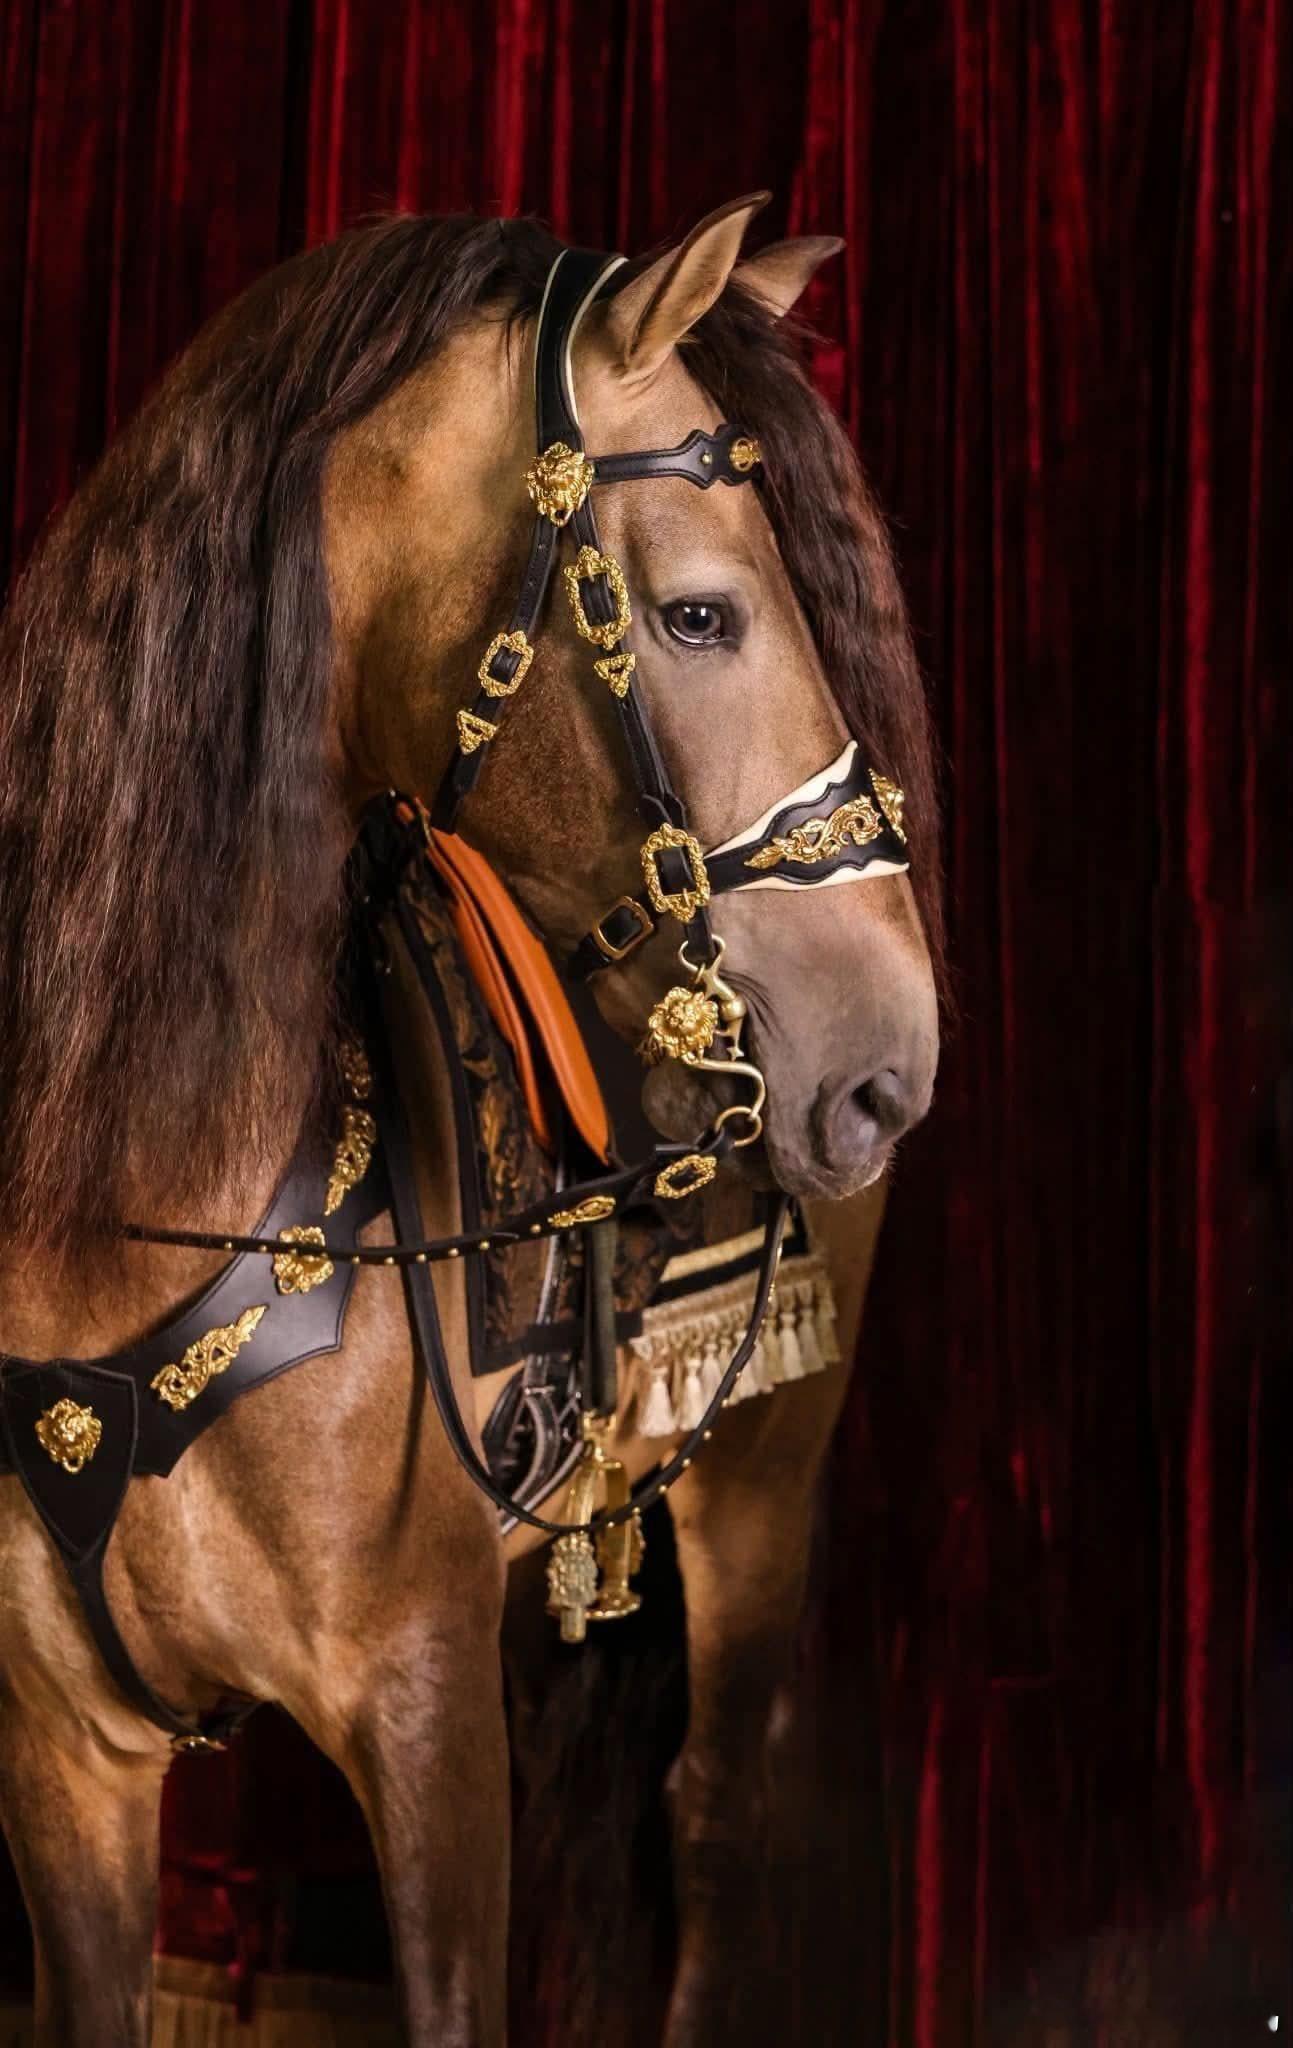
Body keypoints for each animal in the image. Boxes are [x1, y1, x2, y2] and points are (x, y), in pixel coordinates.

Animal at [0, 196, 940, 2046]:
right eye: (701, 616)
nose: (888, 1054)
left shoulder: (421, 1709)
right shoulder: (62, 1756)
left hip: (764, 1484)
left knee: (712, 1824)